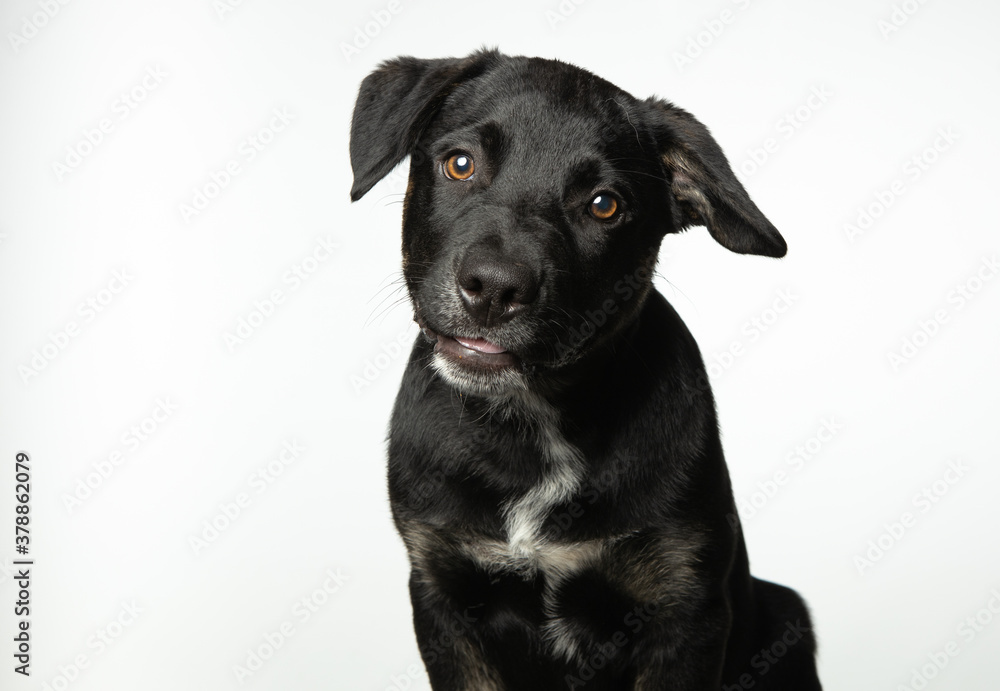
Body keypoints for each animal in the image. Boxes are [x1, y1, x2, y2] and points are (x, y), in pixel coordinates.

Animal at [350, 50, 820, 691]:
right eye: (459, 164)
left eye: (604, 205)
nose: (493, 289)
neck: (536, 422)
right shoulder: (443, 595)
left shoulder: (684, 609)